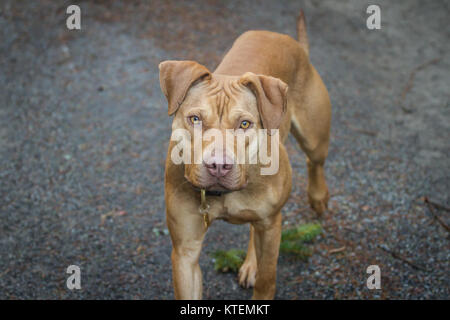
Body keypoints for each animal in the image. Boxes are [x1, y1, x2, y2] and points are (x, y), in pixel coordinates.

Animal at [158, 10, 330, 300]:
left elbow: (267, 279)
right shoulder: (185, 252)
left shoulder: (271, 224)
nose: (218, 166)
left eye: (245, 124)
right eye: (195, 119)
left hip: (313, 136)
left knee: (314, 161)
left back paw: (318, 197)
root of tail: (289, 41)